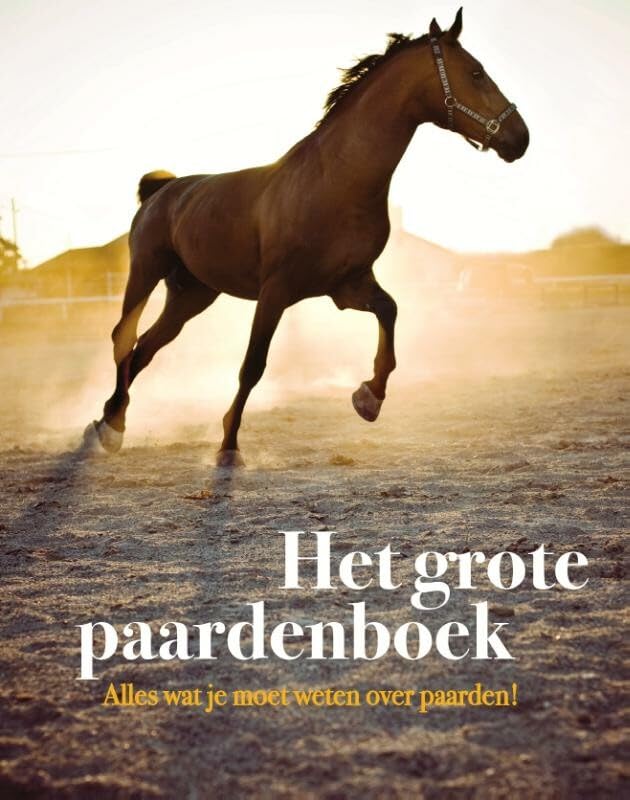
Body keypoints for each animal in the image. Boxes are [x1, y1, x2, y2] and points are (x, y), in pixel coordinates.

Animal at [85, 8, 529, 466]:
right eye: (476, 73)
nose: (520, 138)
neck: (335, 180)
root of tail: (163, 190)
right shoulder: (276, 291)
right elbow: (253, 366)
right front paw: (228, 447)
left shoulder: (347, 285)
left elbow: (389, 312)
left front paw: (369, 397)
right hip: (146, 273)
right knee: (125, 337)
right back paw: (109, 428)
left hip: (191, 295)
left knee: (145, 348)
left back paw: (112, 422)